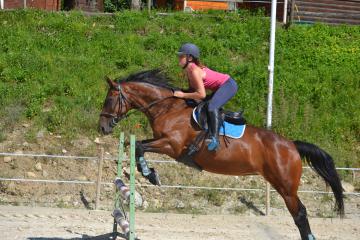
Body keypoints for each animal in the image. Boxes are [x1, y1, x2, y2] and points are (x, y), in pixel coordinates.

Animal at [98, 69, 344, 240]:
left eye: (109, 99)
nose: (102, 127)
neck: (167, 108)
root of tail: (292, 145)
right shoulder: (163, 143)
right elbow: (137, 145)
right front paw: (149, 173)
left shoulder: (172, 146)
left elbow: (140, 146)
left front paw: (151, 174)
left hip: (286, 187)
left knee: (300, 214)